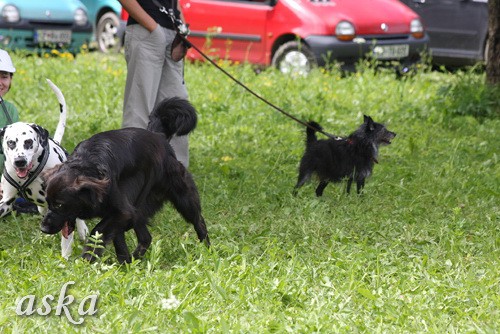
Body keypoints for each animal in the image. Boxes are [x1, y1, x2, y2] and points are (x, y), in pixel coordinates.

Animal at [0, 79, 88, 260]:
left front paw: (65, 259)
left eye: (28, 142)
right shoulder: (6, 202)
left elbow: (66, 238)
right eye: (11, 142)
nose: (19, 161)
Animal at [40, 96, 209, 264]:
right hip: (139, 208)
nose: (43, 229)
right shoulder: (122, 214)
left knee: (198, 220)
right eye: (48, 202)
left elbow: (98, 231)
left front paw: (87, 257)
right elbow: (118, 240)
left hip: (182, 197)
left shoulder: (122, 211)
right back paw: (135, 259)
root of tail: (158, 136)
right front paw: (124, 264)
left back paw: (207, 249)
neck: (87, 167)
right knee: (146, 237)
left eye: (60, 205)